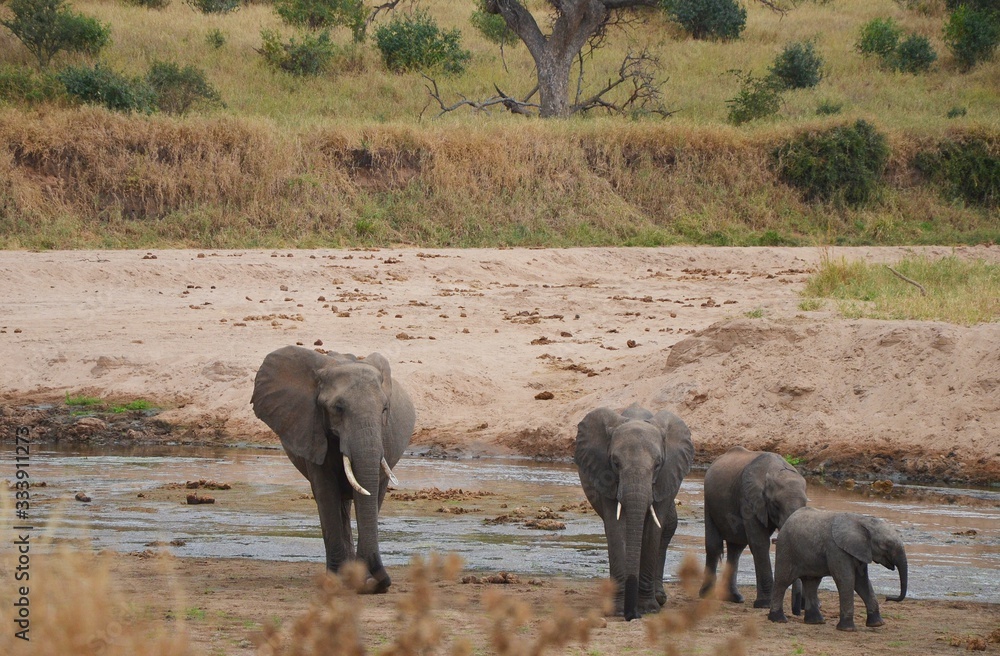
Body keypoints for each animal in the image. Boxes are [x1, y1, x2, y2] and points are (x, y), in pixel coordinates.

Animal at [251, 345, 415, 593]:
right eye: (338, 408)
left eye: (385, 409)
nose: (380, 582)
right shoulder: (312, 429)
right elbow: (326, 492)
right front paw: (337, 580)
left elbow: (372, 492)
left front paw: (360, 580)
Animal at [574, 404, 694, 621]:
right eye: (615, 463)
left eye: (658, 464)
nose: (632, 615)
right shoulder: (606, 476)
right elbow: (615, 528)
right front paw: (618, 610)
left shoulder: (667, 475)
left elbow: (653, 531)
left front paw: (648, 609)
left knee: (667, 528)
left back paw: (659, 598)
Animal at [699, 446, 808, 609]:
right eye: (776, 505)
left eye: (805, 504)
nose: (799, 607)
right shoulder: (748, 499)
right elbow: (760, 543)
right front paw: (765, 605)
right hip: (709, 502)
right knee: (714, 546)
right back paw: (707, 596)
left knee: (736, 549)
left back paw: (735, 598)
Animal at [768, 508, 908, 631]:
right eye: (887, 545)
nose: (888, 598)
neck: (862, 521)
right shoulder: (836, 549)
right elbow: (846, 580)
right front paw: (848, 629)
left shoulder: (860, 550)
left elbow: (861, 582)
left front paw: (877, 624)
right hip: (786, 549)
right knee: (783, 581)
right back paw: (778, 619)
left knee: (812, 582)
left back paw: (816, 621)